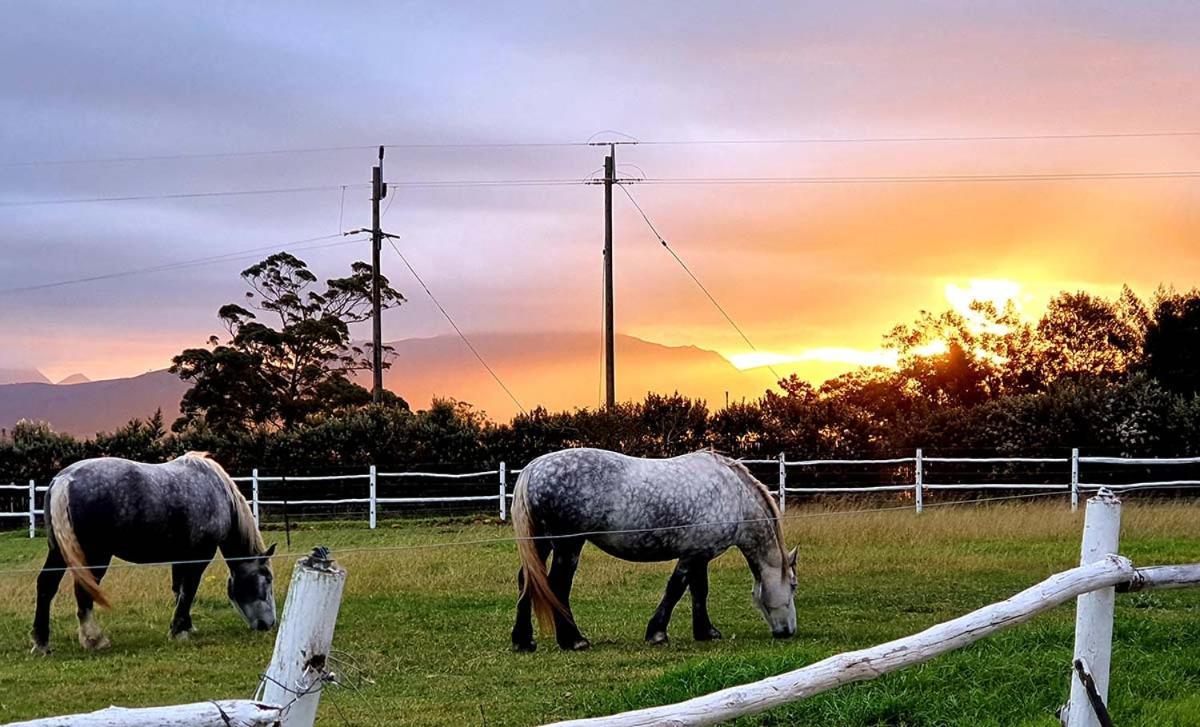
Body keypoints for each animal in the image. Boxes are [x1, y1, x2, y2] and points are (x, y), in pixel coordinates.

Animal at [33, 453, 278, 657]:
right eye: (267, 579)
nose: (269, 624)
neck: (218, 493)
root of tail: (65, 480)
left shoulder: (181, 557)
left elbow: (179, 590)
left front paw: (186, 625)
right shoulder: (199, 556)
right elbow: (189, 591)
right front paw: (179, 631)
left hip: (58, 552)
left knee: (46, 586)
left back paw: (42, 643)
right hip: (95, 556)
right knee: (83, 592)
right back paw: (94, 639)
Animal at [508, 451, 796, 657]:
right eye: (793, 585)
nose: (789, 631)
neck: (733, 494)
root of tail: (533, 468)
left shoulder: (700, 554)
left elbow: (699, 591)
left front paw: (705, 631)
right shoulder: (692, 556)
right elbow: (676, 589)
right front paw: (657, 633)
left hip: (541, 544)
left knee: (525, 581)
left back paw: (523, 641)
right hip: (568, 547)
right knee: (557, 587)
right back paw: (574, 640)